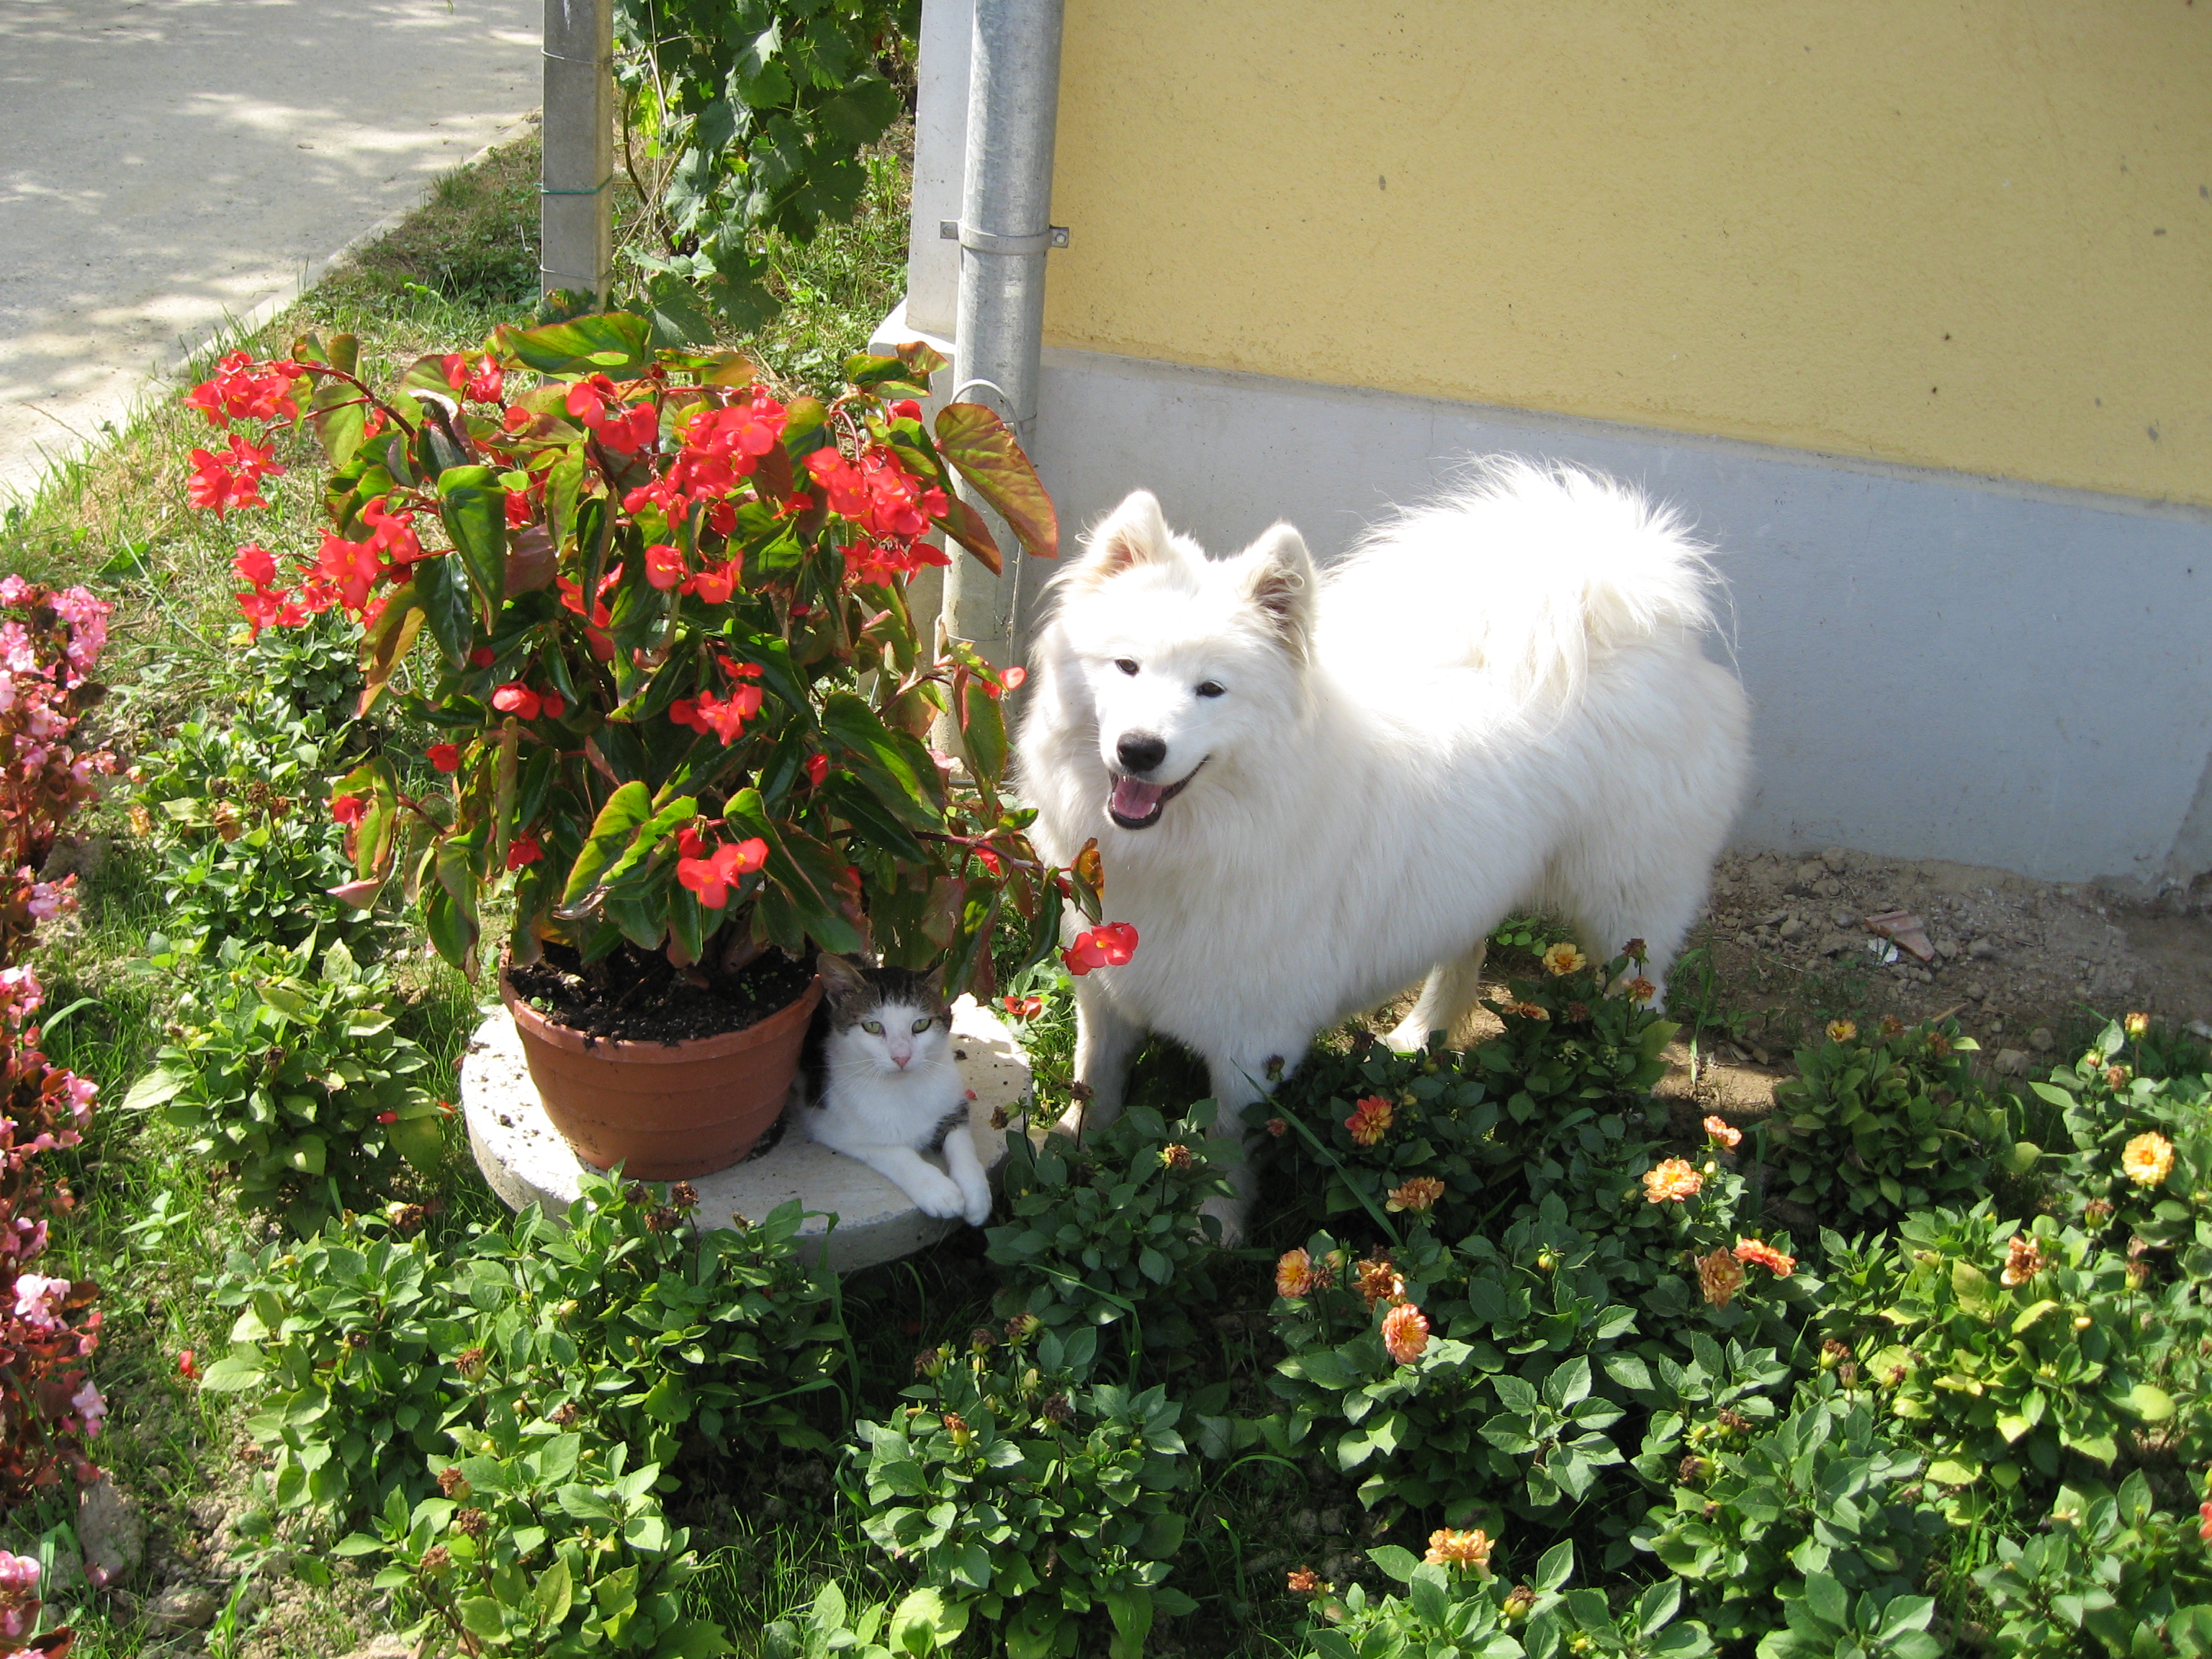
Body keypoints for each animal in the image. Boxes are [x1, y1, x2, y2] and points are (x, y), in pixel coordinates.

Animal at [791, 954, 992, 1226]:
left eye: (921, 1024)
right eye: (873, 1027)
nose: (901, 1057)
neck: (902, 1087)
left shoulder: (952, 1099)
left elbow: (962, 1143)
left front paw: (976, 1194)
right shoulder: (827, 1123)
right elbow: (892, 1152)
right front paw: (939, 1191)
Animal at [1014, 460, 1752, 1232]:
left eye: (1211, 689)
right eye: (1125, 666)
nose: (1139, 749)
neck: (1193, 845)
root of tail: (1630, 620)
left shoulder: (1252, 1036)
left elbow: (1223, 1140)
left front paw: (1214, 1223)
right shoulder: (1103, 983)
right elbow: (1094, 1077)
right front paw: (1062, 1154)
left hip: (1627, 911)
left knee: (1642, 1006)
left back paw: (1629, 1104)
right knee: (1464, 956)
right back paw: (1417, 1037)